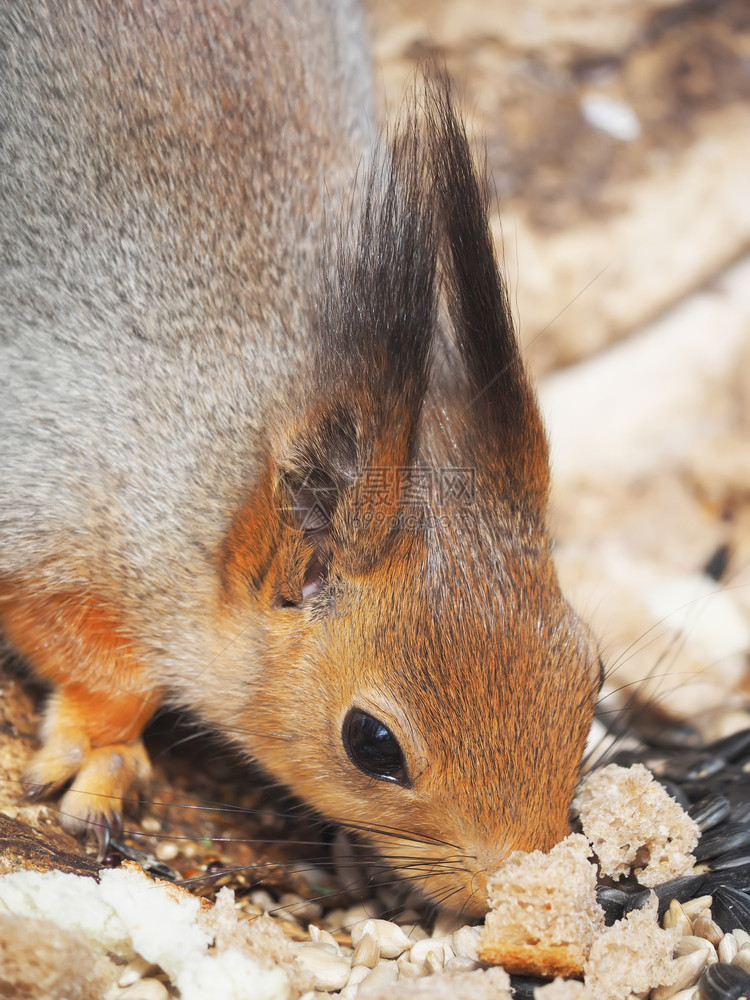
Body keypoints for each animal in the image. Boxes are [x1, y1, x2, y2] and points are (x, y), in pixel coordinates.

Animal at [0, 0, 600, 916]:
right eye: (372, 743)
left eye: (593, 676)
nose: (513, 884)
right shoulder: (50, 485)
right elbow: (93, 649)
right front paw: (100, 752)